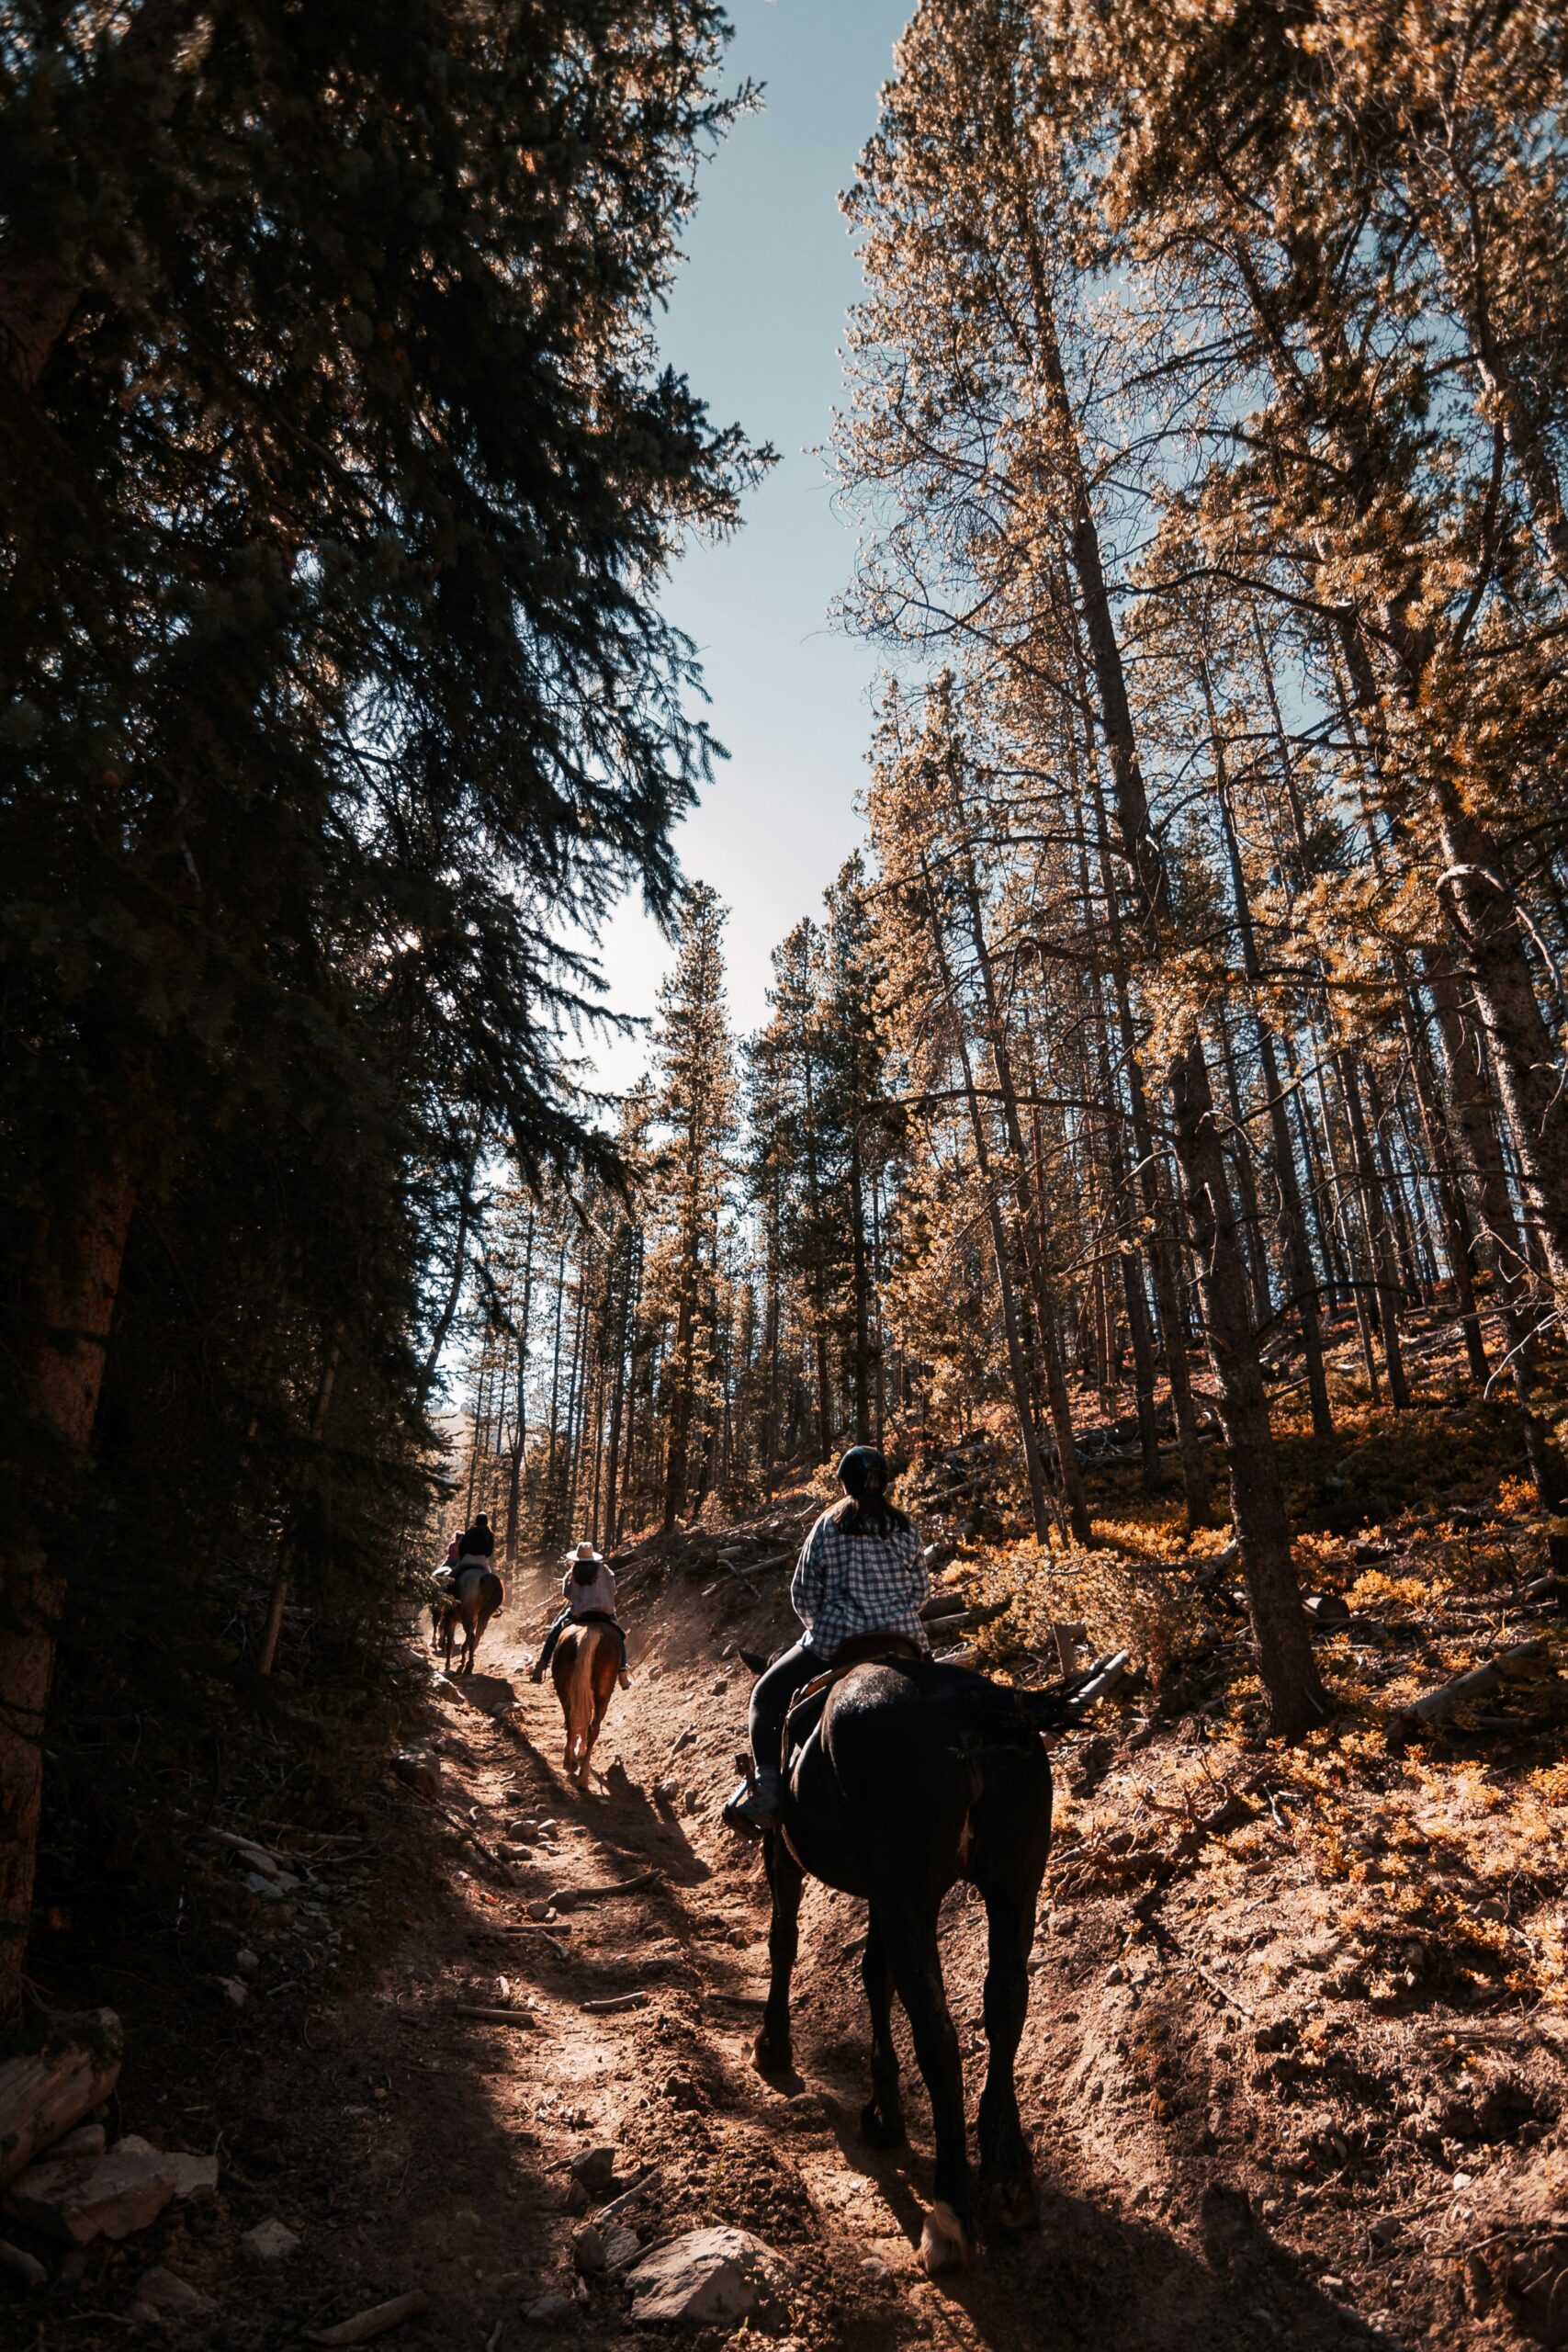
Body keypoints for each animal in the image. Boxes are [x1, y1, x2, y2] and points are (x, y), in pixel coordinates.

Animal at [552, 1618, 620, 1778]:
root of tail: (591, 1631)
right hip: (603, 1691)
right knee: (592, 1725)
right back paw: (583, 1766)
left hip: (565, 1687)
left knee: (573, 1720)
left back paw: (571, 1761)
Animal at [747, 1646, 1123, 2267]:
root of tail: (975, 1705)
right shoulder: (886, 1895)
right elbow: (875, 1974)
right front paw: (883, 2108)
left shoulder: (787, 1851)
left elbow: (786, 1941)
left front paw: (773, 2043)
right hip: (1014, 1883)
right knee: (1005, 2005)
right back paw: (1009, 2172)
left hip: (914, 1896)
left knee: (938, 2034)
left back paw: (949, 2212)